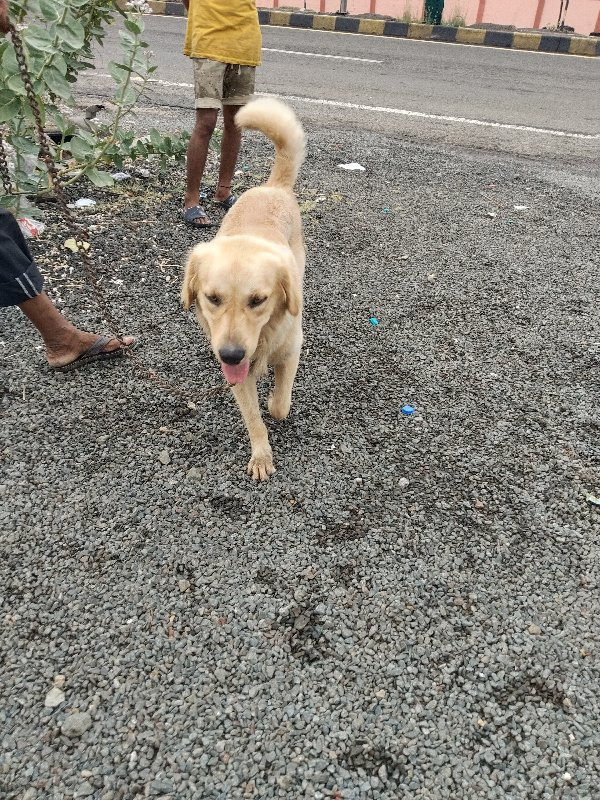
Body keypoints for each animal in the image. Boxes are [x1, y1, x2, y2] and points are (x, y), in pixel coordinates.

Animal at [182, 95, 304, 482]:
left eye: (258, 300)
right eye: (212, 298)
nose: (231, 355)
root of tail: (271, 186)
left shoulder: (292, 348)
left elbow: (280, 404)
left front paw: (274, 401)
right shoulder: (239, 374)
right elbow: (253, 419)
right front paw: (261, 455)